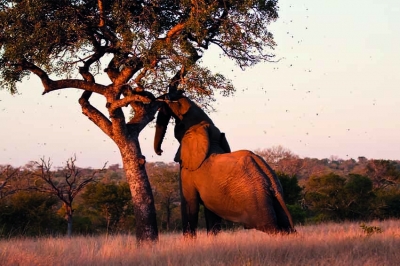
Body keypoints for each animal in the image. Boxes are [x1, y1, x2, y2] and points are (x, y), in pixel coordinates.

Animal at [155, 91, 296, 237]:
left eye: (180, 127)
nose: (160, 152)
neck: (207, 135)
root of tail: (272, 184)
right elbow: (211, 212)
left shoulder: (189, 171)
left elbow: (190, 204)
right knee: (285, 225)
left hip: (256, 199)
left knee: (270, 226)